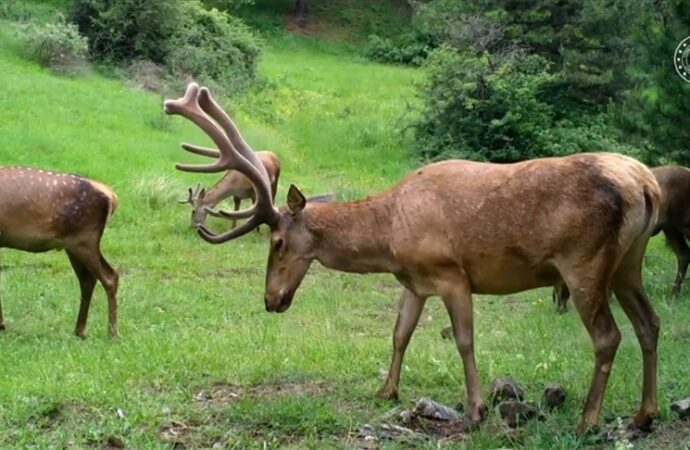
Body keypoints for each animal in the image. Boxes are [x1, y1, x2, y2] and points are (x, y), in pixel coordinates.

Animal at [0, 169, 118, 338]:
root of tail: (112, 197)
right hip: (75, 245)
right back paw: (80, 330)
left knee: (109, 277)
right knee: (88, 280)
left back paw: (112, 333)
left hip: (84, 240)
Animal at [165, 82, 660, 434]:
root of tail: (646, 184)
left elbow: (464, 340)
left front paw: (476, 410)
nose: (271, 300)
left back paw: (587, 421)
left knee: (608, 336)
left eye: (278, 243)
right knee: (649, 323)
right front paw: (386, 389)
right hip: (627, 263)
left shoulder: (451, 273)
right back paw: (644, 415)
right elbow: (399, 333)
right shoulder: (414, 282)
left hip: (584, 262)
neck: (390, 235)